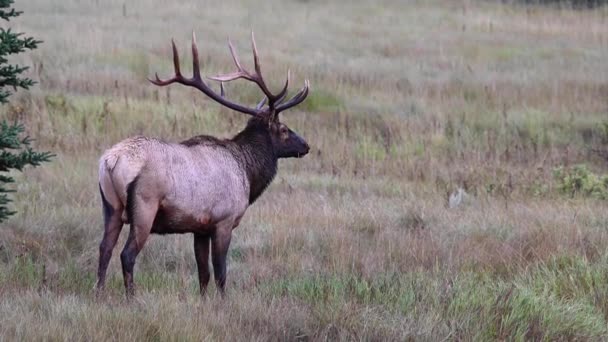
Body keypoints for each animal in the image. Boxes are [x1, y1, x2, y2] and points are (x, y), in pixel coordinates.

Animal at [98, 32, 314, 300]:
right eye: (284, 129)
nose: (306, 145)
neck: (247, 173)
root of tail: (110, 161)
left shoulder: (199, 227)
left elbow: (203, 273)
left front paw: (203, 300)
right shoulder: (224, 220)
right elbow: (220, 271)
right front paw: (223, 302)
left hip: (110, 206)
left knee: (104, 248)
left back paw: (99, 293)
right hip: (144, 206)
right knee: (126, 254)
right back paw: (131, 299)